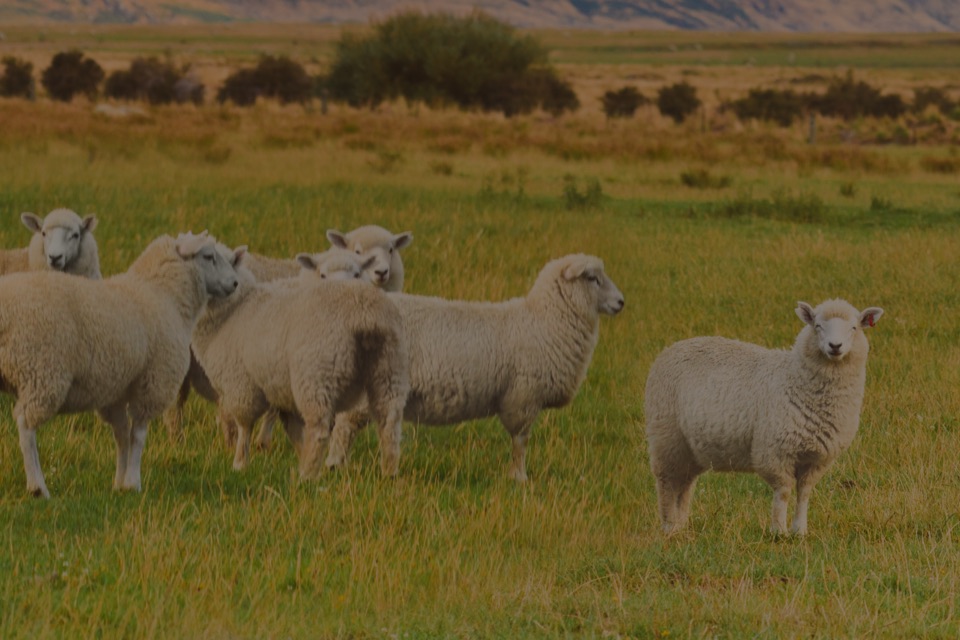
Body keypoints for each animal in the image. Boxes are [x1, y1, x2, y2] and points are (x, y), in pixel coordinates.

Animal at [0, 232, 238, 498]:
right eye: (208, 256)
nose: (234, 283)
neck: (163, 295)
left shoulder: (116, 391)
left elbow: (122, 436)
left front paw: (119, 483)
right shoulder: (152, 383)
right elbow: (138, 436)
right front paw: (133, 482)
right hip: (42, 372)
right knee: (26, 427)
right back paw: (37, 487)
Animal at [191, 252, 408, 478]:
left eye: (358, 273)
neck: (234, 310)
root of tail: (363, 313)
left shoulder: (241, 385)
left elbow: (245, 426)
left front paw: (239, 463)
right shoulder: (281, 391)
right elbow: (293, 430)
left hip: (317, 376)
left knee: (319, 430)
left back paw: (307, 475)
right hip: (388, 370)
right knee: (389, 424)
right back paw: (388, 471)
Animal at [324, 252, 624, 482]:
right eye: (592, 278)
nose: (621, 302)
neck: (544, 320)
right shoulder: (523, 397)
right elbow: (520, 441)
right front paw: (520, 477)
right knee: (346, 425)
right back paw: (337, 464)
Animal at [644, 298, 884, 536]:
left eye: (854, 328)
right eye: (817, 326)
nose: (835, 346)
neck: (794, 379)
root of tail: (671, 348)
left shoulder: (818, 458)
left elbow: (804, 492)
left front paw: (800, 530)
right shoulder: (774, 451)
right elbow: (784, 491)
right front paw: (779, 531)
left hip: (688, 449)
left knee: (684, 484)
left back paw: (680, 525)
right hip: (666, 437)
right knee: (667, 483)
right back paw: (669, 527)